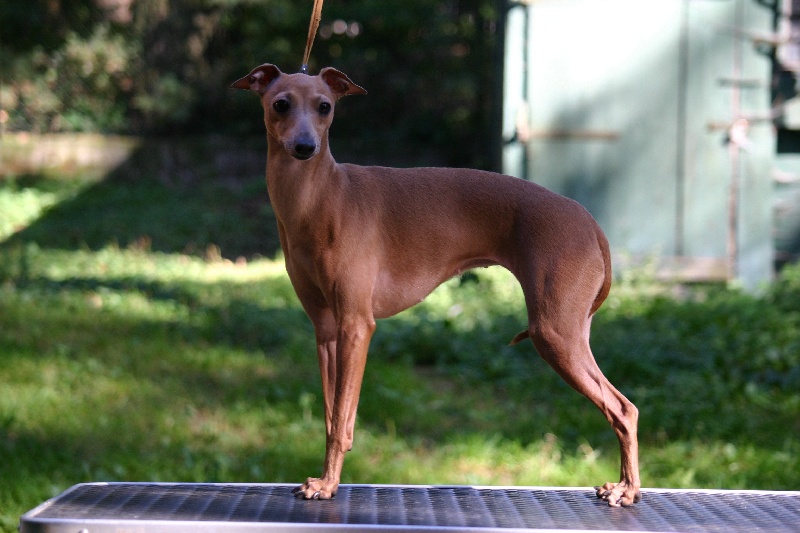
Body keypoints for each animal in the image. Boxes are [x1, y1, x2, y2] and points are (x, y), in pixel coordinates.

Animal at [228, 64, 640, 504]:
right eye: (280, 104)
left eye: (325, 107)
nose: (305, 147)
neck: (319, 198)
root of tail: (589, 221)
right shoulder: (326, 330)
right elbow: (333, 416)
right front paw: (328, 478)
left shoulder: (356, 325)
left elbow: (339, 421)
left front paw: (327, 484)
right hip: (569, 331)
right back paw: (624, 486)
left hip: (554, 332)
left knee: (623, 409)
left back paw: (629, 489)